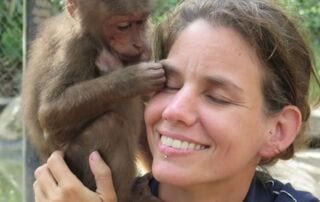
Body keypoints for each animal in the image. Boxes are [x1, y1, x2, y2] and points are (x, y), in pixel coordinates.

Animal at [21, 0, 165, 200]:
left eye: (141, 21)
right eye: (123, 26)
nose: (139, 43)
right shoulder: (74, 47)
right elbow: (49, 114)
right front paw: (130, 76)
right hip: (76, 167)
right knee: (111, 125)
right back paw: (128, 195)